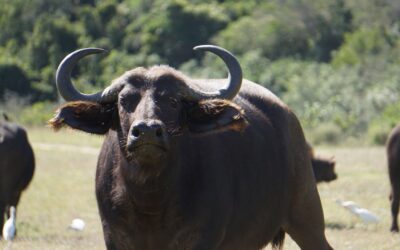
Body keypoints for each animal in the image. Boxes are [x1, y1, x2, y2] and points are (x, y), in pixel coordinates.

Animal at [49, 46, 332, 249]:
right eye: (123, 101)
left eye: (173, 100)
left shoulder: (201, 238)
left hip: (307, 215)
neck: (150, 200)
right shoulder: (115, 237)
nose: (147, 131)